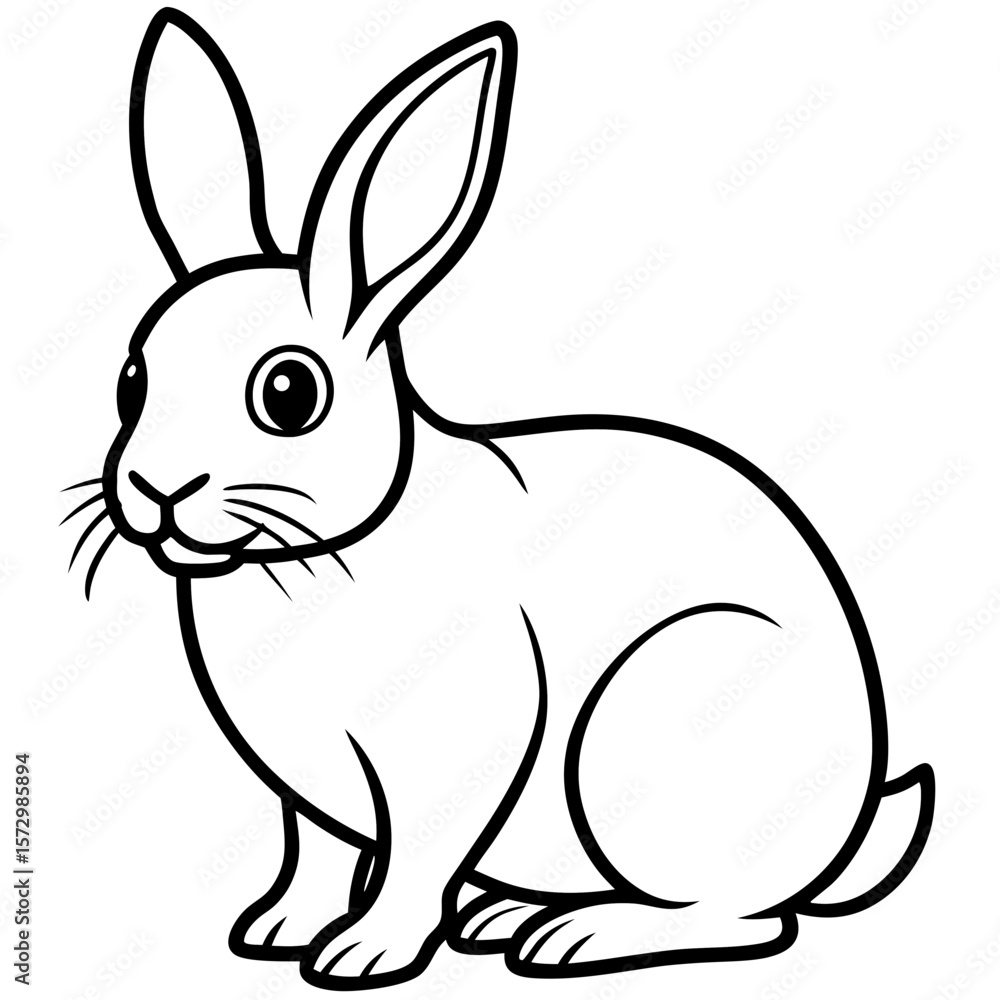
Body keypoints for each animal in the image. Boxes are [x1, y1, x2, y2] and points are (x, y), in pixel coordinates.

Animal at [63, 6, 935, 990]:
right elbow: (317, 851)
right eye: (131, 380)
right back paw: (503, 916)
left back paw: (576, 938)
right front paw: (277, 929)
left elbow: (415, 857)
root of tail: (847, 829)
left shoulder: (453, 755)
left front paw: (361, 954)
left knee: (745, 920)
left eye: (289, 393)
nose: (156, 490)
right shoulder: (303, 791)